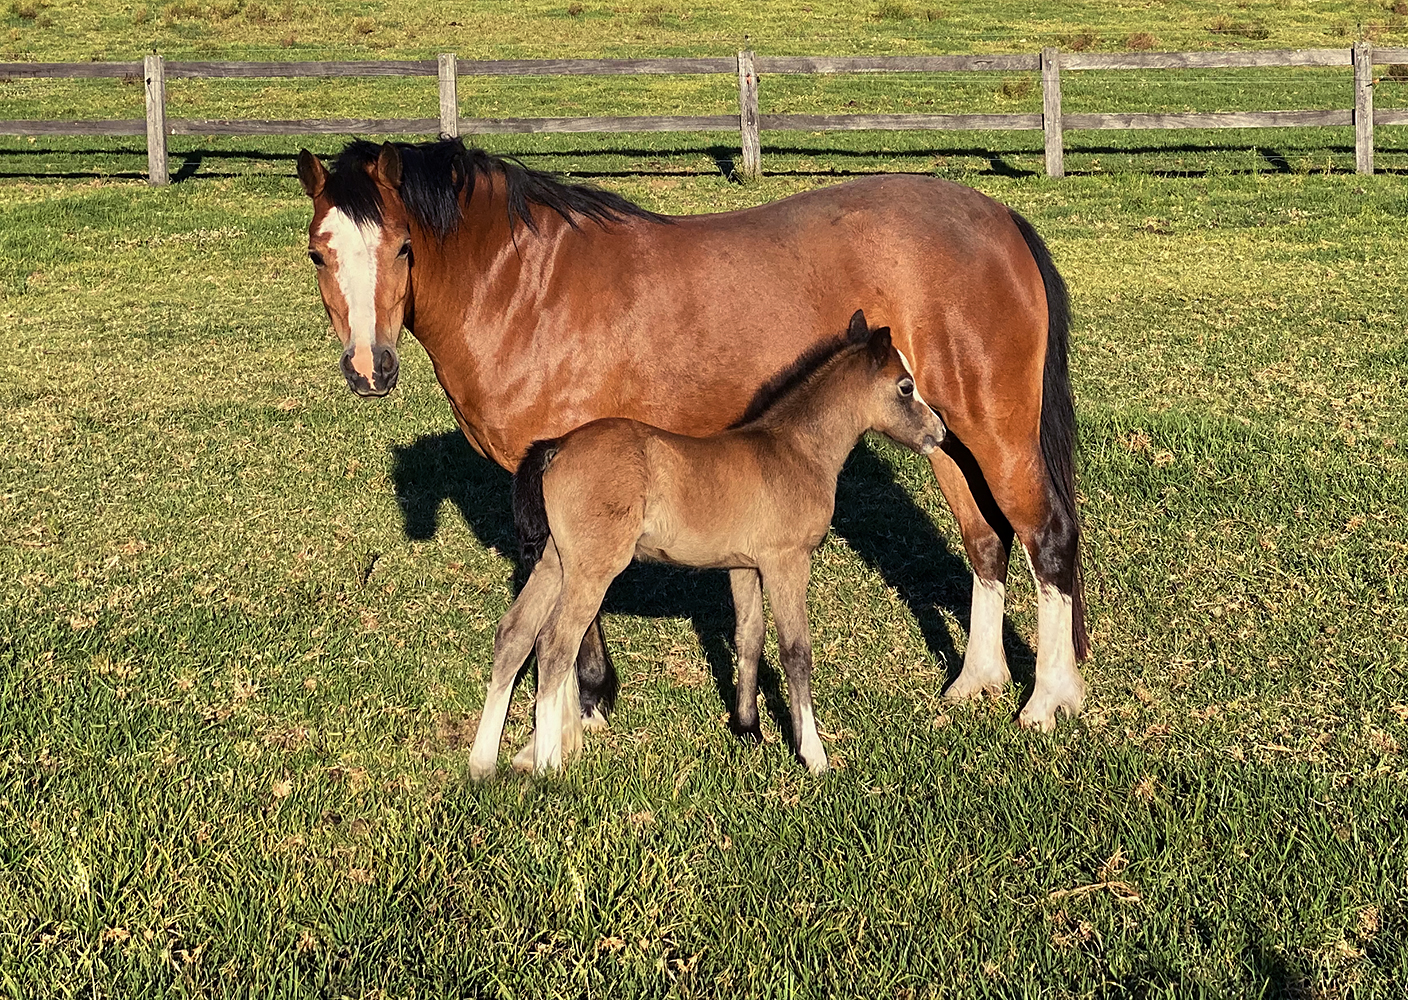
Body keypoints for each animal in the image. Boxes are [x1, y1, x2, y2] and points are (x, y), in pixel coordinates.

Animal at [468, 310, 947, 777]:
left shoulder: (744, 566)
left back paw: (482, 764)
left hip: (556, 562)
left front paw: (748, 728)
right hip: (592, 568)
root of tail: (558, 446)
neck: (795, 451)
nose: (939, 433)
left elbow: (749, 637)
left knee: (515, 635)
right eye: (905, 387)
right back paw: (547, 764)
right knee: (553, 645)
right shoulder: (787, 562)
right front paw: (813, 754)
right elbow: (796, 652)